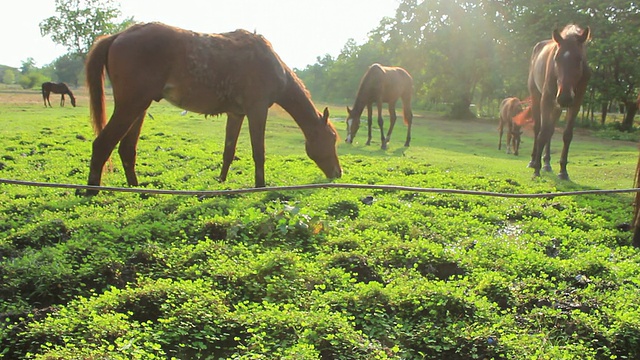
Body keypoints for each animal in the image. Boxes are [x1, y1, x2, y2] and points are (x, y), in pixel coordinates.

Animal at [83, 22, 342, 195]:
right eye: (332, 138)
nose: (338, 173)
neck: (271, 63)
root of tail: (119, 35)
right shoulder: (257, 110)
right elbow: (259, 152)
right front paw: (259, 187)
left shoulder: (236, 114)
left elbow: (229, 151)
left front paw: (221, 182)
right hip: (131, 105)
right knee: (103, 144)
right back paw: (91, 191)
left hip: (139, 108)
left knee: (127, 150)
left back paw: (139, 191)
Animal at [516, 24, 592, 179]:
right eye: (556, 58)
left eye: (579, 59)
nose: (565, 97)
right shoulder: (547, 98)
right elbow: (543, 132)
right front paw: (536, 168)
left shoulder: (576, 102)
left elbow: (567, 135)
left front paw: (563, 171)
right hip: (537, 97)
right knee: (538, 128)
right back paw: (533, 161)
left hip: (557, 107)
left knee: (550, 131)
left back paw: (547, 163)